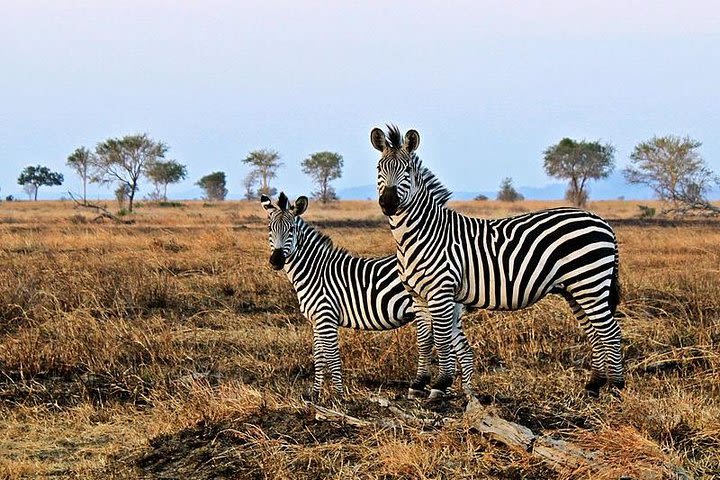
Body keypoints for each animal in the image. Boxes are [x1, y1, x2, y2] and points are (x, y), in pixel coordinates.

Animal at [258, 193, 466, 400]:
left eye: (291, 229)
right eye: (270, 229)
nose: (276, 261)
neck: (315, 271)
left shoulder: (326, 317)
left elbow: (332, 356)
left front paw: (339, 395)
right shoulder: (316, 320)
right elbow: (319, 356)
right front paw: (315, 394)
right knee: (461, 349)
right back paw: (459, 393)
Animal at [372, 125, 624, 400]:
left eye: (407, 169)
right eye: (379, 168)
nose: (388, 203)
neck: (421, 235)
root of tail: (602, 221)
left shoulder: (441, 291)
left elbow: (441, 339)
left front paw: (440, 383)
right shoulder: (417, 296)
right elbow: (424, 340)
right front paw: (419, 383)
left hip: (590, 283)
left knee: (611, 331)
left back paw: (616, 387)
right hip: (576, 289)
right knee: (594, 331)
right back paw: (594, 385)